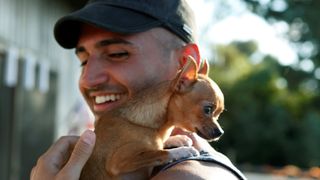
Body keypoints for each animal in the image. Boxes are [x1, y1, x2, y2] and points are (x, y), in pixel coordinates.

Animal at [80, 56, 225, 180]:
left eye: (219, 114)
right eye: (207, 110)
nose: (220, 132)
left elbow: (158, 146)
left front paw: (178, 139)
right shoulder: (119, 160)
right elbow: (160, 153)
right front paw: (183, 151)